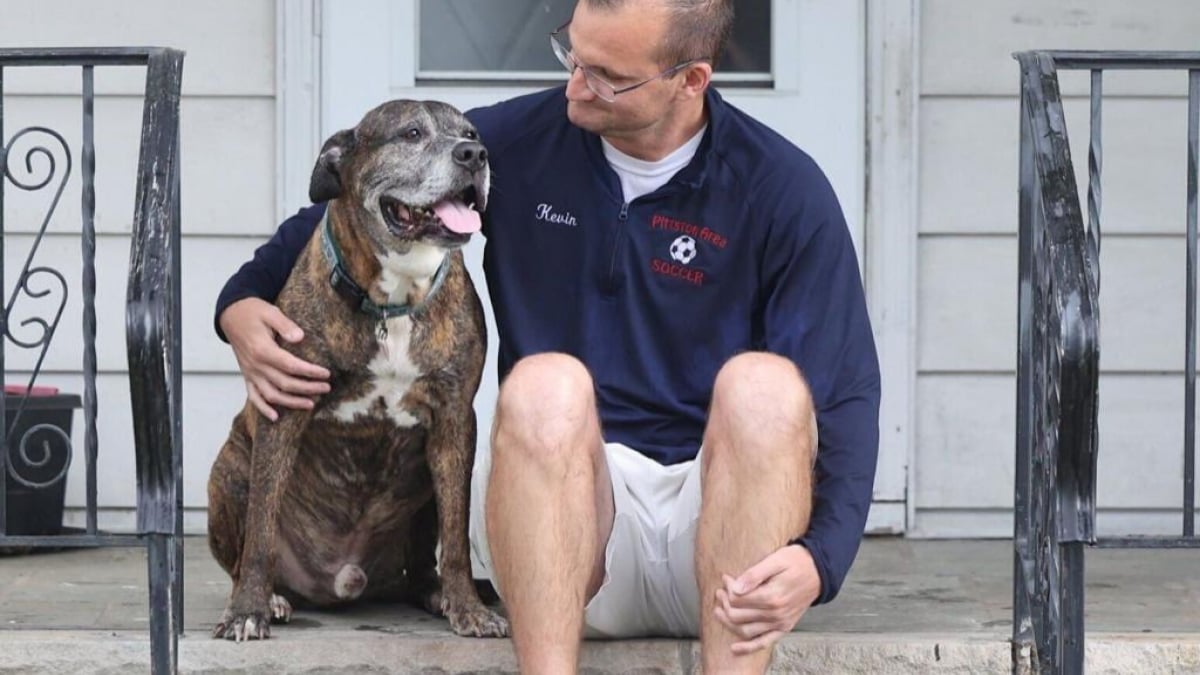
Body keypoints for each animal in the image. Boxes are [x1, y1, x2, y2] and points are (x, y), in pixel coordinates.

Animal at [206, 97, 506, 638]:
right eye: (411, 134)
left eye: (471, 132)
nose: (474, 154)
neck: (394, 299)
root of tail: (342, 581)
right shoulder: (285, 407)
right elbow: (261, 527)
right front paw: (246, 612)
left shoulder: (454, 420)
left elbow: (455, 535)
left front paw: (469, 609)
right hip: (230, 470)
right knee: (244, 552)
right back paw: (270, 597)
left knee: (422, 562)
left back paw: (436, 593)